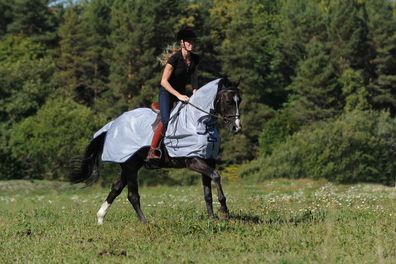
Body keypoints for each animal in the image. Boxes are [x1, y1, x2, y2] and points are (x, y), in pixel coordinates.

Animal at [69, 77, 240, 224]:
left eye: (240, 101)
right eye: (228, 101)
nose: (236, 128)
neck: (197, 122)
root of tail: (113, 125)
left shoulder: (207, 159)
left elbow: (208, 192)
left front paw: (212, 217)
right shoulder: (193, 160)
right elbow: (216, 176)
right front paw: (224, 211)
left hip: (130, 165)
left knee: (116, 188)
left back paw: (100, 218)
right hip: (130, 166)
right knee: (132, 195)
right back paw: (144, 222)